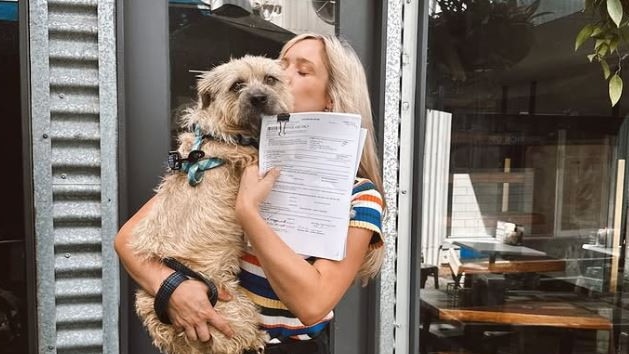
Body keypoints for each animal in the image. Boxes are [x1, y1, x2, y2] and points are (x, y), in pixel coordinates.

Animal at [129, 55, 294, 354]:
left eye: (270, 79)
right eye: (237, 85)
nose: (259, 98)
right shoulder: (247, 157)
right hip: (235, 310)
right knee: (235, 341)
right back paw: (258, 338)